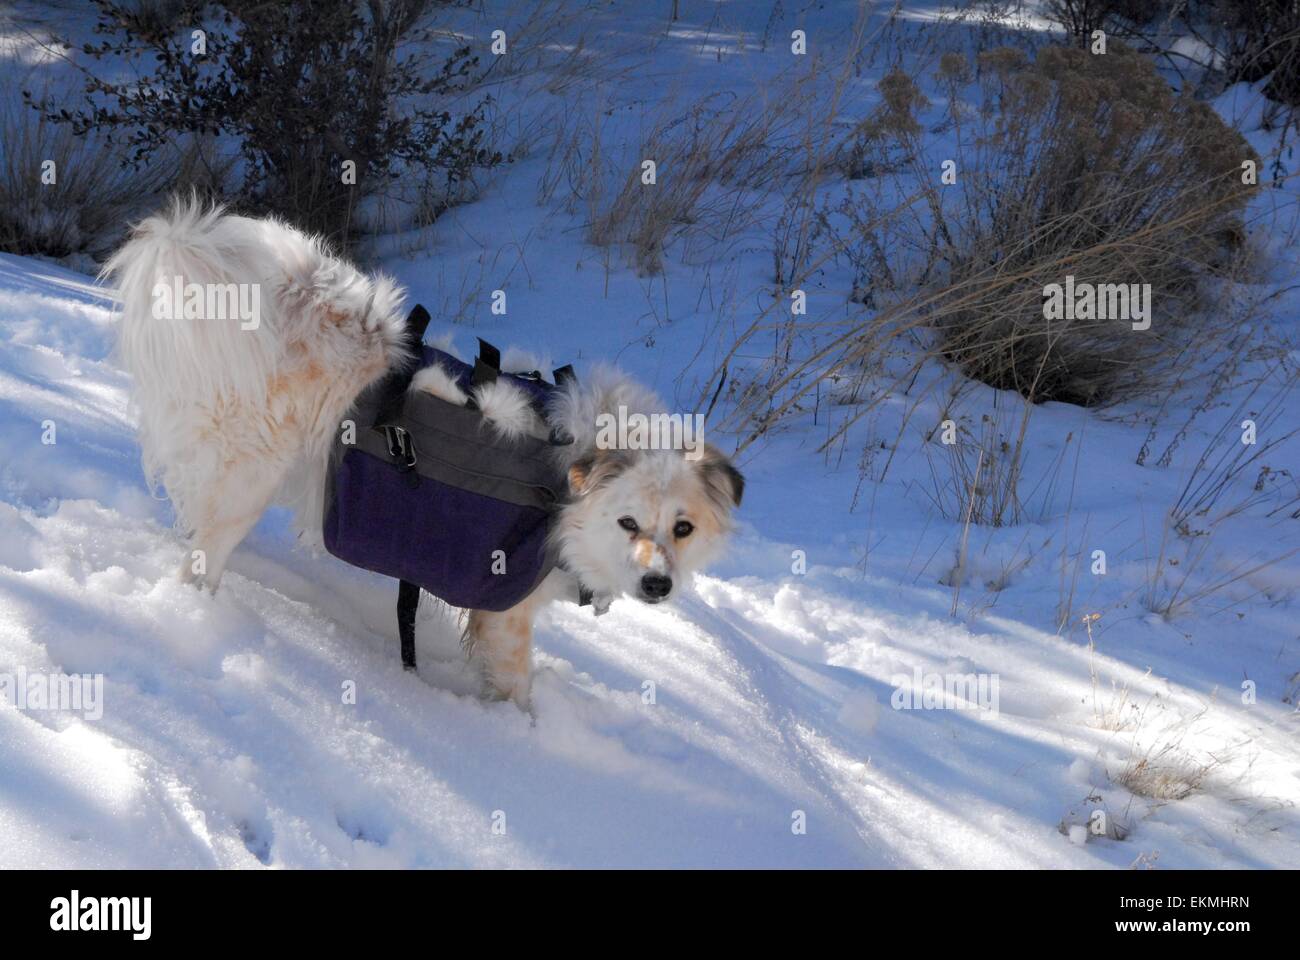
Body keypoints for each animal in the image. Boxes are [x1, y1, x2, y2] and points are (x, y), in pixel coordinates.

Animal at [109, 197, 743, 702]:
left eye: (683, 529)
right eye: (627, 522)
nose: (658, 585)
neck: (561, 500)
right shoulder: (506, 610)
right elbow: (516, 689)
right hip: (249, 477)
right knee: (202, 558)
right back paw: (198, 614)